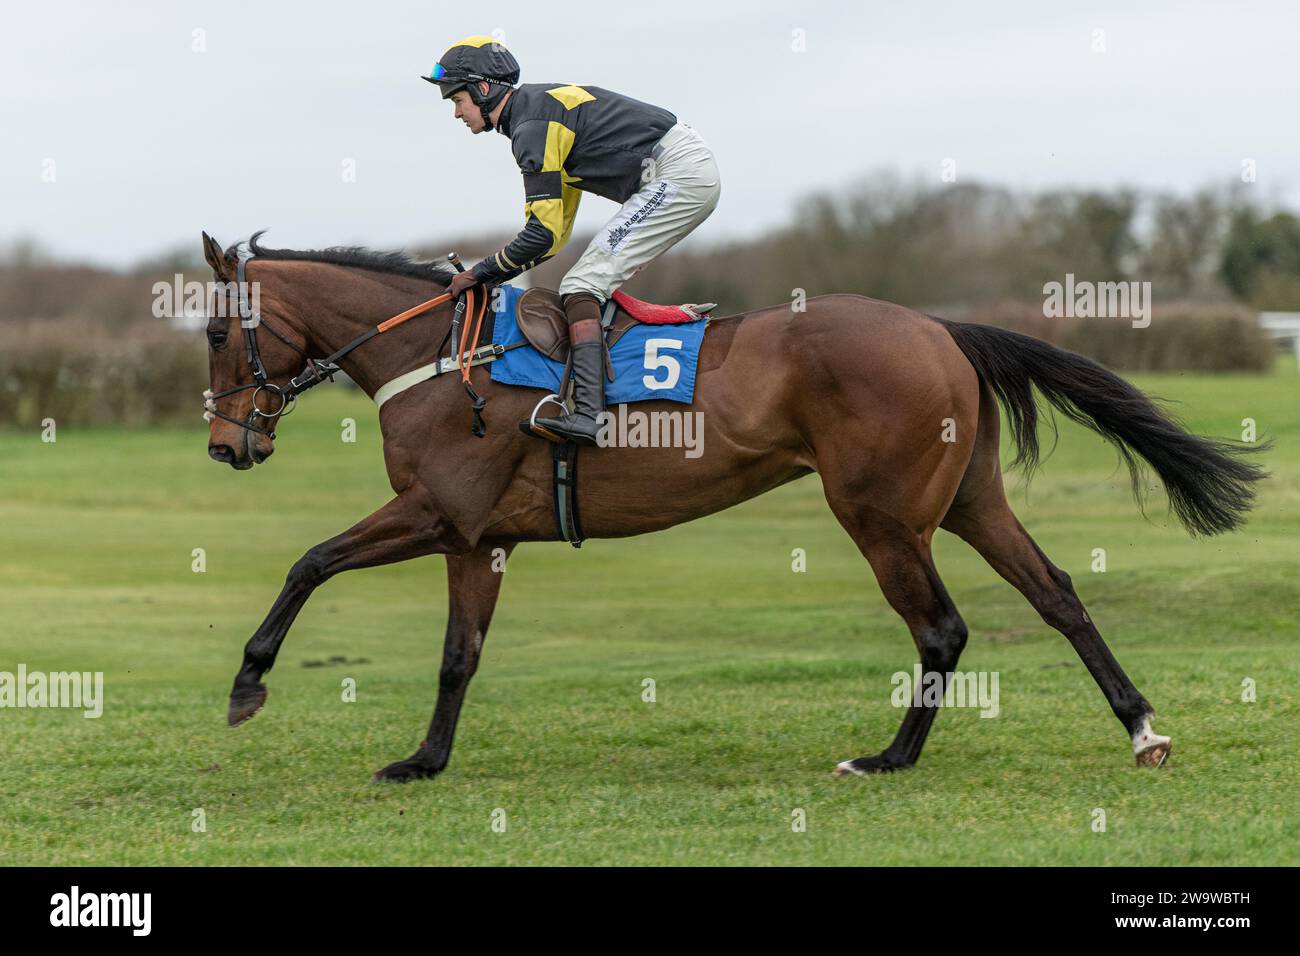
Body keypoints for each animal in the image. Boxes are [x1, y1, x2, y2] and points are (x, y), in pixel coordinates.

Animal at [197, 227, 1263, 780]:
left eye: (211, 330)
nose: (226, 446)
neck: (442, 356)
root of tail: (942, 328)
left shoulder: (433, 512)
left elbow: (308, 561)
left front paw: (248, 683)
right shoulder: (474, 536)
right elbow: (459, 655)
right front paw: (424, 760)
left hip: (880, 514)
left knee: (943, 628)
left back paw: (889, 757)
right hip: (970, 499)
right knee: (1057, 594)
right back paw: (1141, 727)